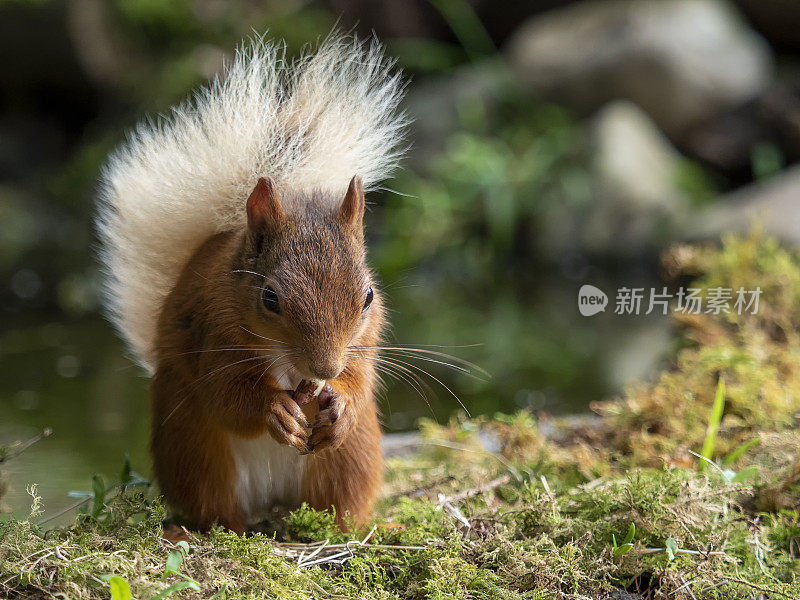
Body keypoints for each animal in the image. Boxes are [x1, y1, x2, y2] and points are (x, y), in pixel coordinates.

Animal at [97, 35, 406, 532]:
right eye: (270, 298)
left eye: (368, 297)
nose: (324, 368)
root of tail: (271, 504)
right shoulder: (211, 331)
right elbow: (227, 397)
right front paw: (273, 410)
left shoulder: (365, 341)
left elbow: (359, 378)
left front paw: (341, 403)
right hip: (195, 448)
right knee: (216, 508)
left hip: (349, 460)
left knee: (338, 506)